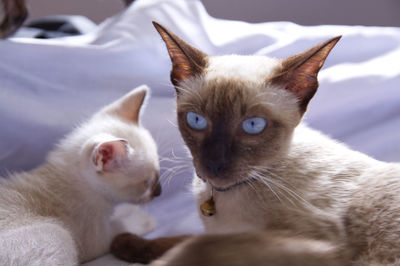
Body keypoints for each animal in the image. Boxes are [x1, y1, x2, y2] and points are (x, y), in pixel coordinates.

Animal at [1, 86, 162, 264]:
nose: (159, 192)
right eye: (147, 182)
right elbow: (121, 226)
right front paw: (144, 219)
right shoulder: (96, 239)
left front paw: (128, 209)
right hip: (58, 234)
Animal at [111, 23, 400, 266]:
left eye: (253, 125)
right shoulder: (225, 232)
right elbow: (182, 240)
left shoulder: (322, 247)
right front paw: (125, 243)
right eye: (196, 120)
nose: (214, 165)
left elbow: (197, 248)